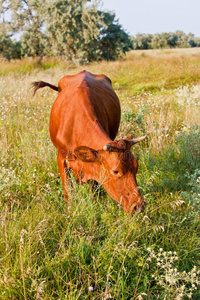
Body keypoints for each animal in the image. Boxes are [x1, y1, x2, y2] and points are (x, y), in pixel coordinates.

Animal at [32, 70, 145, 213]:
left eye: (136, 166)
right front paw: (69, 212)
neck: (75, 123)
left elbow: (94, 189)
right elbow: (68, 191)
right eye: (115, 171)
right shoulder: (61, 158)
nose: (139, 207)